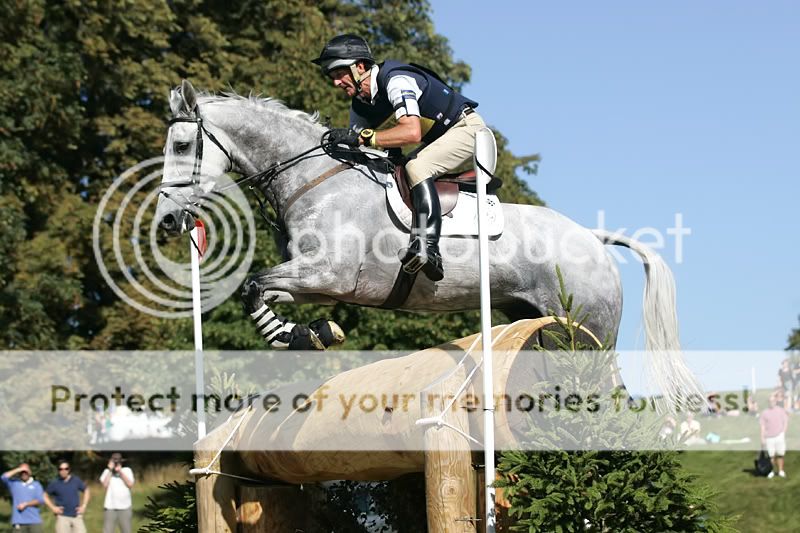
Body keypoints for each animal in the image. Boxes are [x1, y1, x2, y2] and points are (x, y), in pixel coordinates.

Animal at [153, 80, 696, 404]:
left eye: (181, 145)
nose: (167, 222)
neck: (315, 179)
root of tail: (592, 237)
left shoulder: (328, 273)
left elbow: (252, 284)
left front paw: (301, 336)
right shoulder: (314, 283)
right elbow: (260, 291)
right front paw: (311, 333)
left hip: (588, 332)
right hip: (538, 326)